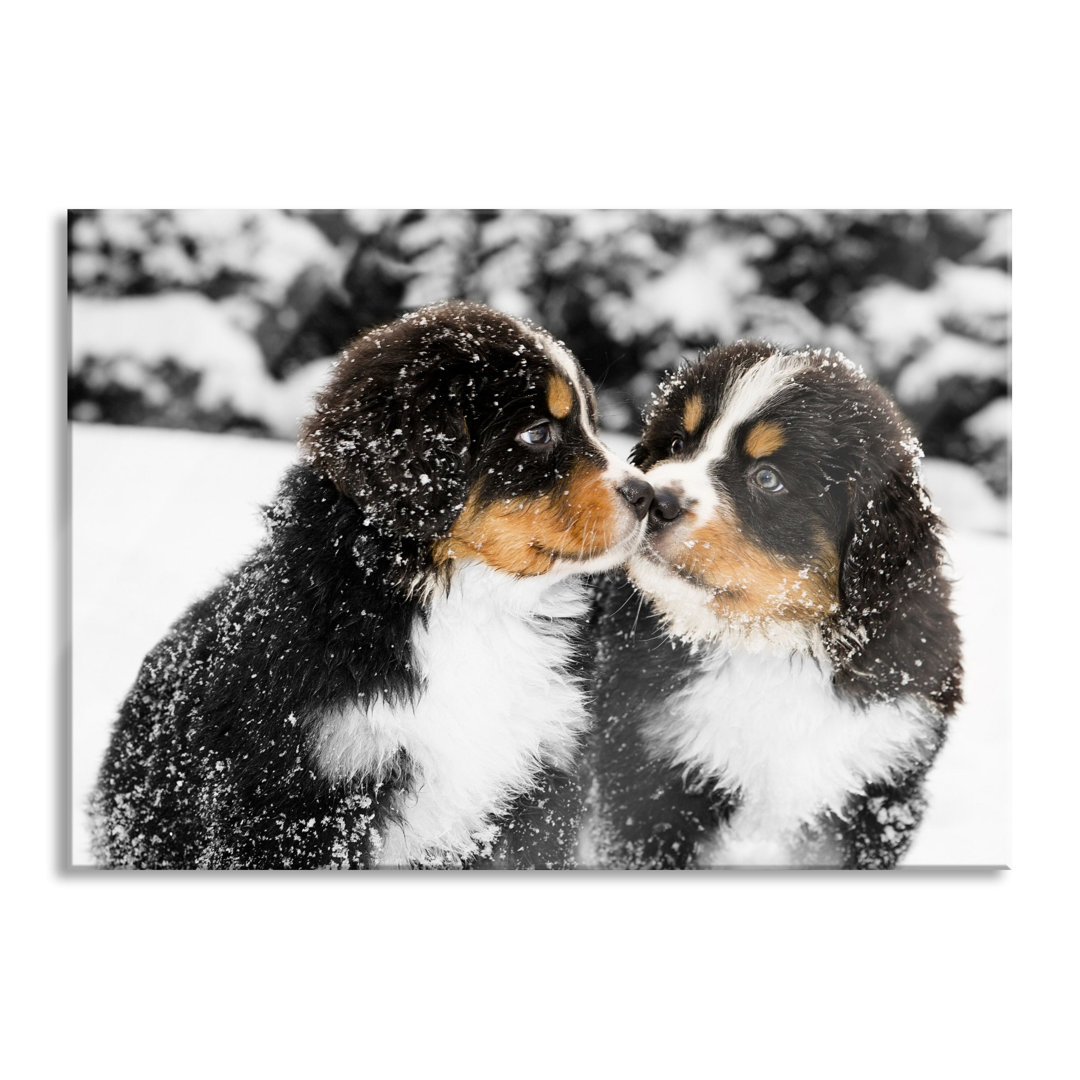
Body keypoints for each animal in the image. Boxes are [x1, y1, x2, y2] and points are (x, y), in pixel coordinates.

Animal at [90, 298, 648, 868]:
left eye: (592, 423)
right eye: (537, 433)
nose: (647, 495)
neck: (469, 607)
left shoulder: (539, 786)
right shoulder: (300, 799)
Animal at [583, 343, 963, 868]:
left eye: (768, 478)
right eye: (677, 442)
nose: (656, 500)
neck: (769, 646)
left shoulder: (883, 785)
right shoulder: (649, 777)